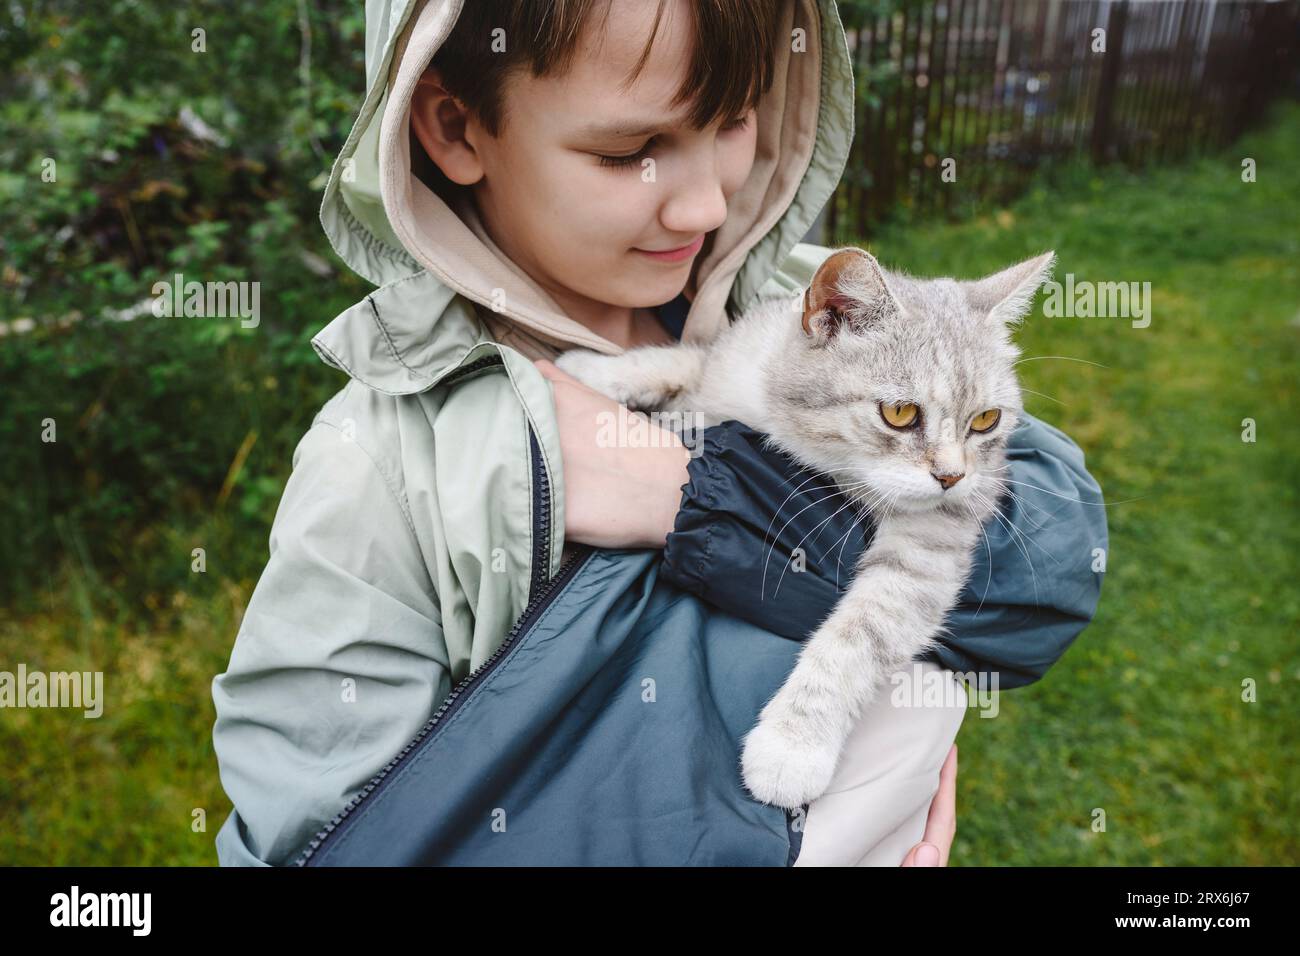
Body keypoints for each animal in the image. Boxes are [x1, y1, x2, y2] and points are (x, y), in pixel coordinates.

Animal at [556, 244, 1055, 806]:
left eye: (987, 420)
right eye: (900, 413)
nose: (952, 477)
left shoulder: (925, 549)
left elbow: (853, 644)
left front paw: (792, 745)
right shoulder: (732, 359)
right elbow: (685, 357)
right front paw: (590, 366)